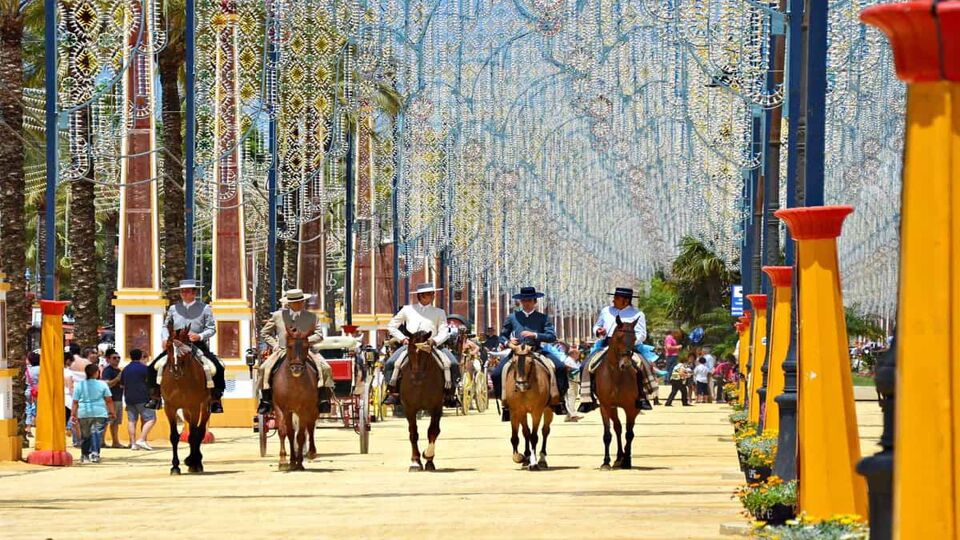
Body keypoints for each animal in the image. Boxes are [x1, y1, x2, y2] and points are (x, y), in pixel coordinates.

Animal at [161, 324, 212, 472]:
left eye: (184, 348)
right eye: (168, 346)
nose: (176, 369)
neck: (180, 382)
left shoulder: (194, 407)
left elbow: (194, 435)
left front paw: (194, 462)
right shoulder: (170, 408)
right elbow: (174, 437)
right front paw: (175, 466)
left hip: (205, 407)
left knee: (200, 431)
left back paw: (196, 461)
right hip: (185, 410)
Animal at [272, 326, 320, 470]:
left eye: (306, 346)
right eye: (289, 346)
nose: (296, 368)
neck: (294, 383)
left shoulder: (304, 409)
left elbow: (301, 435)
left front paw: (299, 462)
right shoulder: (280, 407)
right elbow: (284, 432)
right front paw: (283, 461)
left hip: (312, 409)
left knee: (310, 428)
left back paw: (310, 453)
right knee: (291, 433)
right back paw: (292, 461)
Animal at [396, 324, 444, 472]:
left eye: (426, 352)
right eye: (410, 351)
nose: (416, 378)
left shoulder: (436, 407)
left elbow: (433, 431)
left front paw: (428, 457)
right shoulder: (409, 409)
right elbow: (413, 433)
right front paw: (415, 461)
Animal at [592, 316, 636, 468]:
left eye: (635, 338)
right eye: (618, 337)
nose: (626, 364)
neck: (616, 376)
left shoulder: (630, 407)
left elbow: (629, 434)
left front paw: (627, 461)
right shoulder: (605, 406)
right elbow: (607, 434)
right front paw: (606, 462)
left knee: (625, 431)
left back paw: (623, 458)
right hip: (612, 408)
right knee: (617, 427)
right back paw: (618, 458)